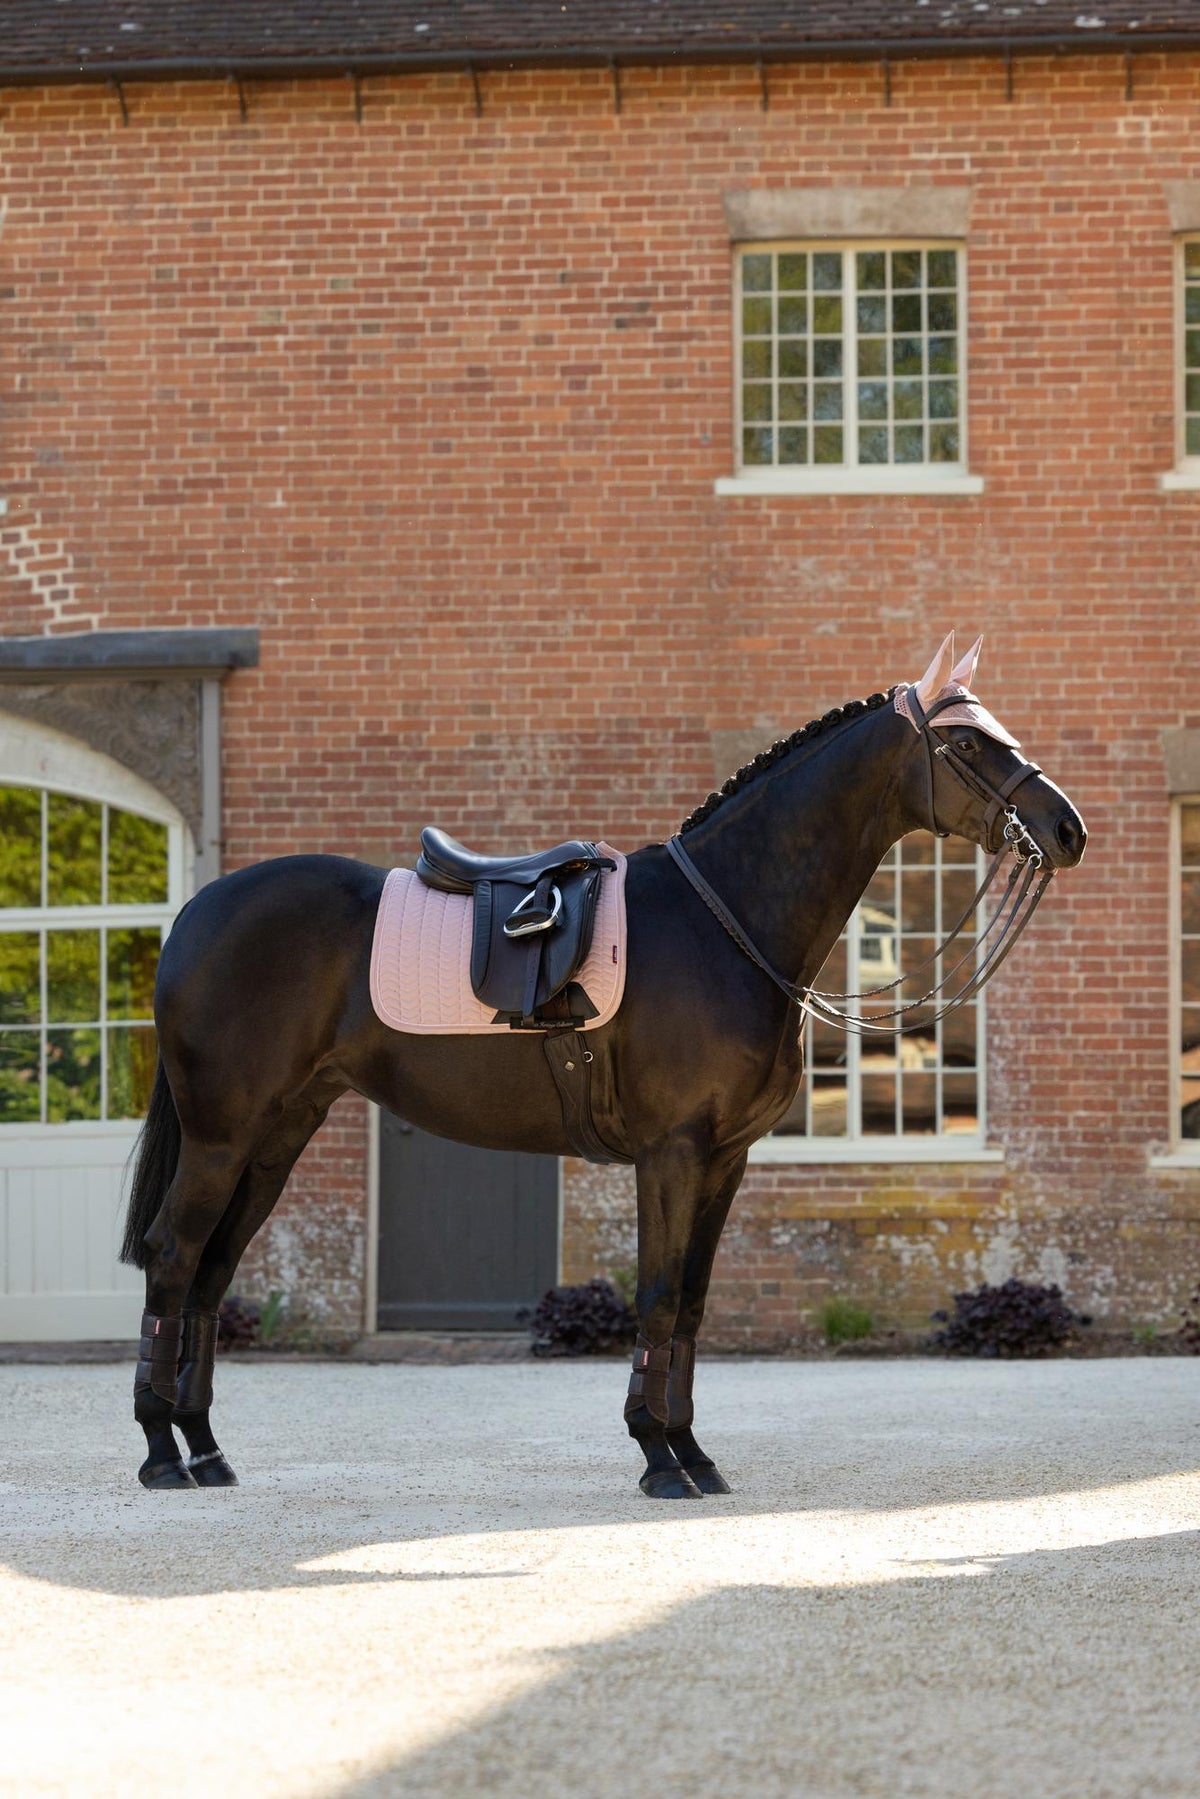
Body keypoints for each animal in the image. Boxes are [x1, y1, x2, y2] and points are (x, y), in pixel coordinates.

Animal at [120, 633, 1086, 1497]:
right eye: (968, 743)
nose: (1066, 828)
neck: (724, 919)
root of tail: (197, 913)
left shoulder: (726, 1158)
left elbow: (690, 1302)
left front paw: (693, 1453)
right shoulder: (672, 1152)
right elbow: (656, 1293)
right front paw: (660, 1459)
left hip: (277, 1136)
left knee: (210, 1271)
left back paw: (207, 1449)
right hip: (222, 1137)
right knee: (173, 1256)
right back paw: (161, 1452)